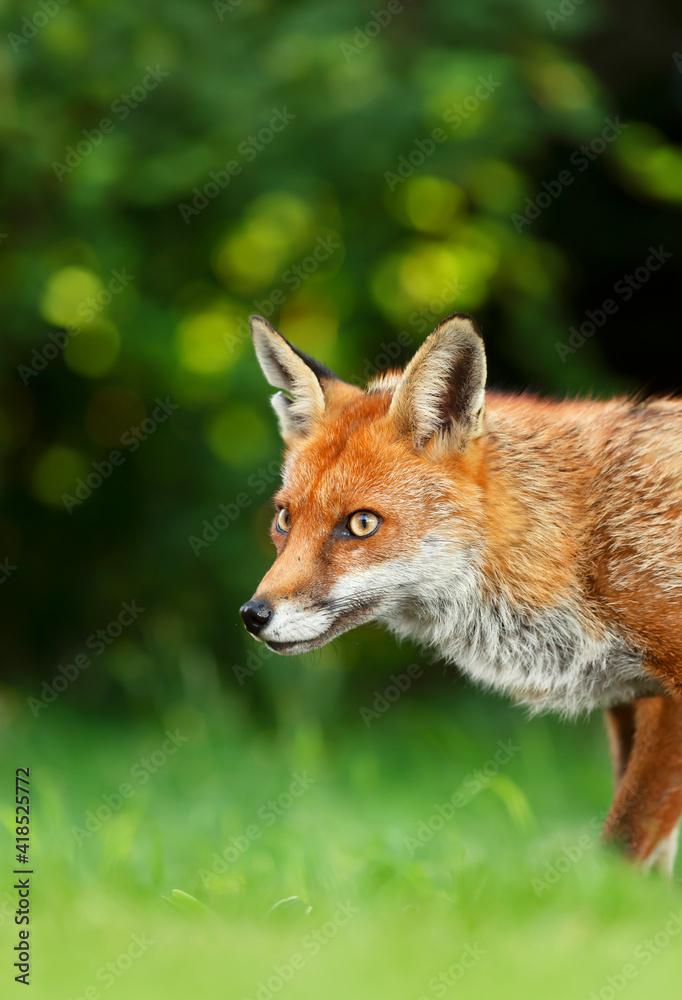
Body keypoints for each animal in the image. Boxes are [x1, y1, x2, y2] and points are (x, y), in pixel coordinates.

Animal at [240, 312, 682, 873]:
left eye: (361, 524)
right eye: (284, 518)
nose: (253, 615)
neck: (583, 540)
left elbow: (623, 844)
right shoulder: (635, 701)